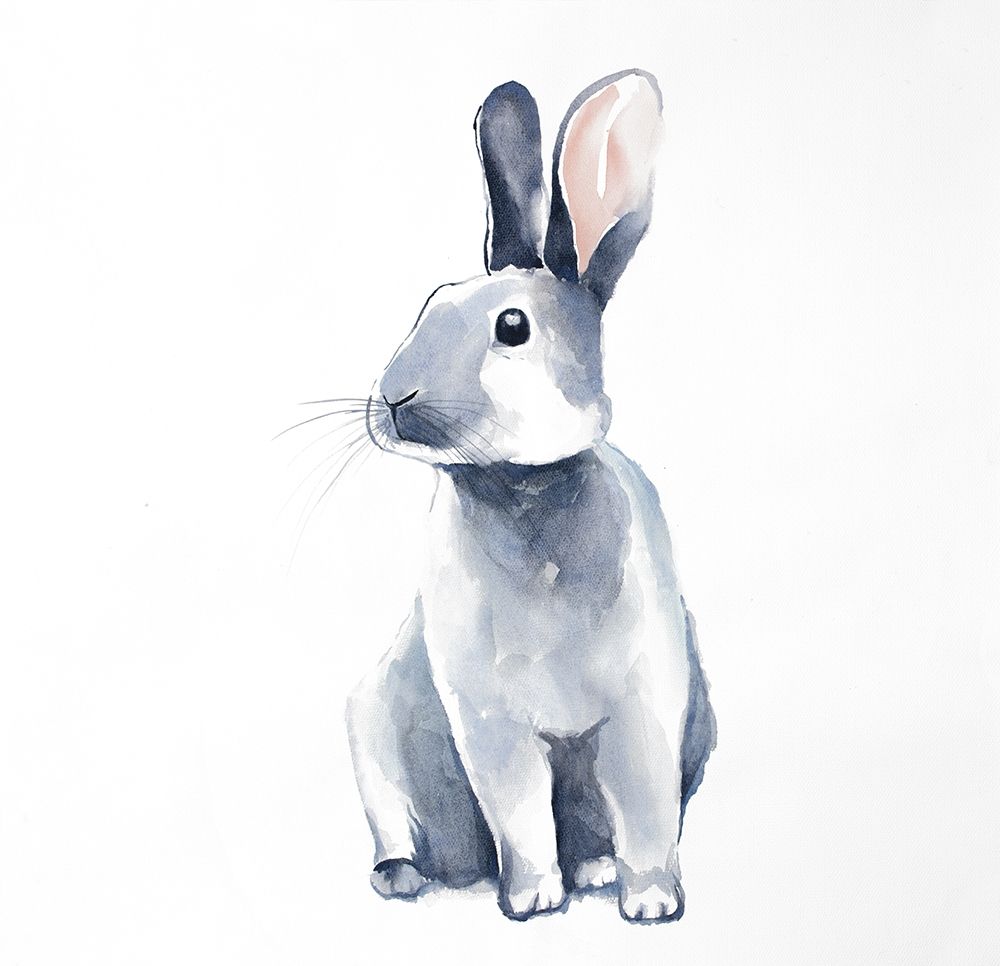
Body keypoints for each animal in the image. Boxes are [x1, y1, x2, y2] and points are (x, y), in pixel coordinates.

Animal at [344, 69, 716, 923]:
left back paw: (598, 874)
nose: (395, 398)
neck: (522, 491)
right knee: (399, 832)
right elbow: (517, 812)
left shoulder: (642, 713)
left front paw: (652, 903)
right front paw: (532, 901)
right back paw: (404, 878)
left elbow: (645, 809)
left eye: (512, 327)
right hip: (373, 737)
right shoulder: (491, 724)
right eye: (429, 305)